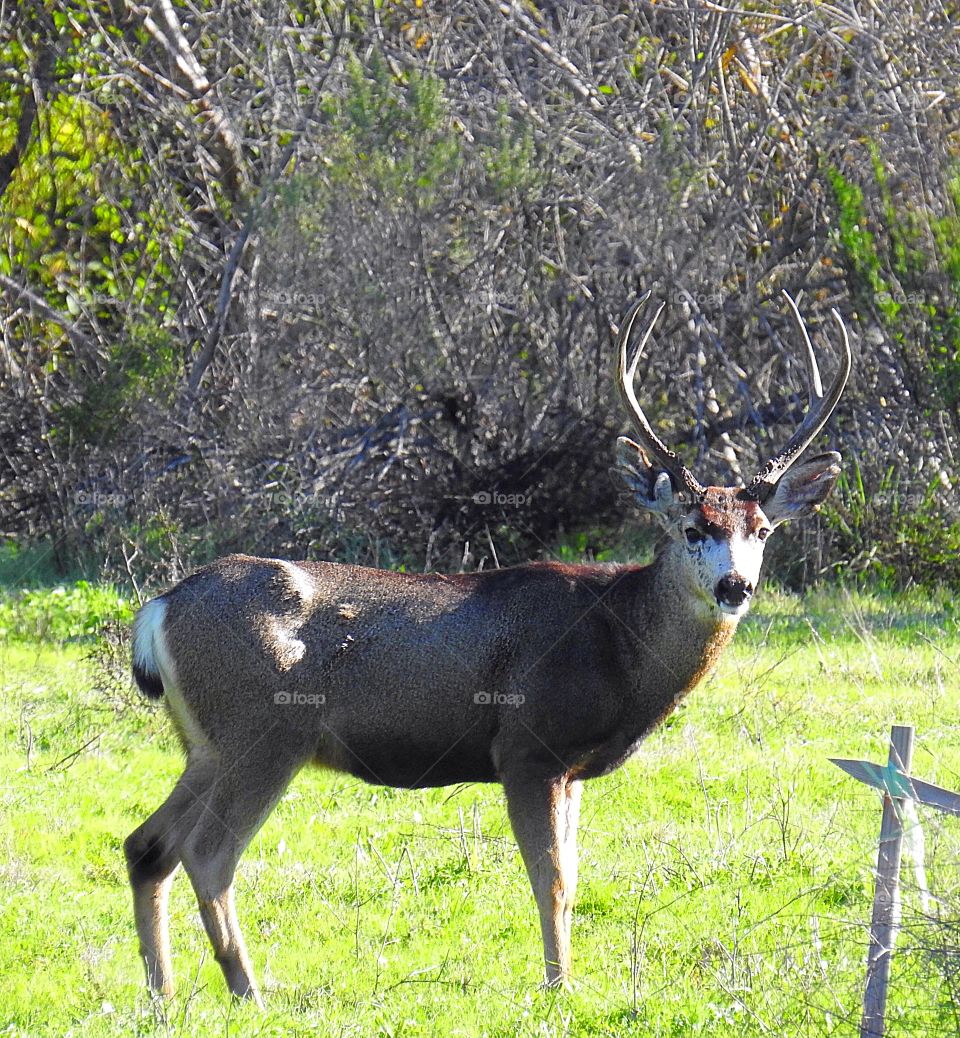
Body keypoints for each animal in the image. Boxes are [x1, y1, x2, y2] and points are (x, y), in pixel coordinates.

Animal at [125, 292, 851, 1004]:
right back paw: (249, 991)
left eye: (762, 529)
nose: (735, 585)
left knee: (148, 844)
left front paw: (565, 979)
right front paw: (559, 988)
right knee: (207, 852)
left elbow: (573, 877)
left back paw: (164, 993)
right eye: (694, 527)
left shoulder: (570, 769)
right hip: (264, 730)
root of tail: (160, 608)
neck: (619, 646)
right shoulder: (529, 747)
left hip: (208, 744)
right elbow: (551, 879)